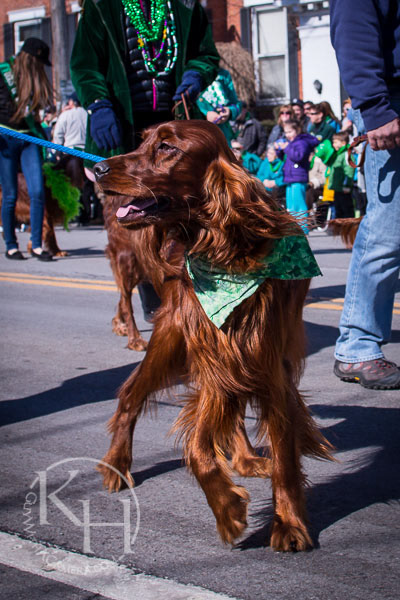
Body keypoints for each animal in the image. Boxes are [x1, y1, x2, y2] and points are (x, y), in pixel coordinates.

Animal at [94, 120, 333, 552]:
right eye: (143, 139)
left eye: (167, 147)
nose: (99, 168)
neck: (226, 250)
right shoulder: (213, 356)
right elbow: (196, 447)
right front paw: (228, 510)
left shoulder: (266, 362)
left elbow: (284, 455)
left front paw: (289, 523)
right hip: (171, 339)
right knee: (129, 395)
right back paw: (116, 464)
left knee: (233, 414)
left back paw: (246, 460)